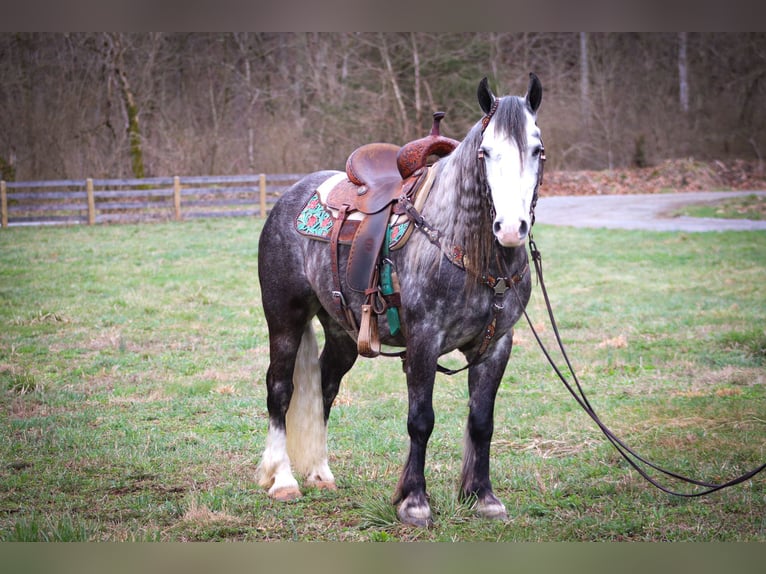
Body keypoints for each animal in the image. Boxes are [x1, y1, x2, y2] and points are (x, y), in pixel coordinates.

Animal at [258, 73, 544, 528]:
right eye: (485, 152)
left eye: (538, 150)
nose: (512, 228)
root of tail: (290, 196)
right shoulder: (424, 341)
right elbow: (420, 420)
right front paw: (414, 502)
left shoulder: (496, 345)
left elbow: (482, 421)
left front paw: (482, 497)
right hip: (284, 318)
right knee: (281, 389)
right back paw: (283, 480)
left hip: (342, 331)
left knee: (324, 388)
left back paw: (320, 473)